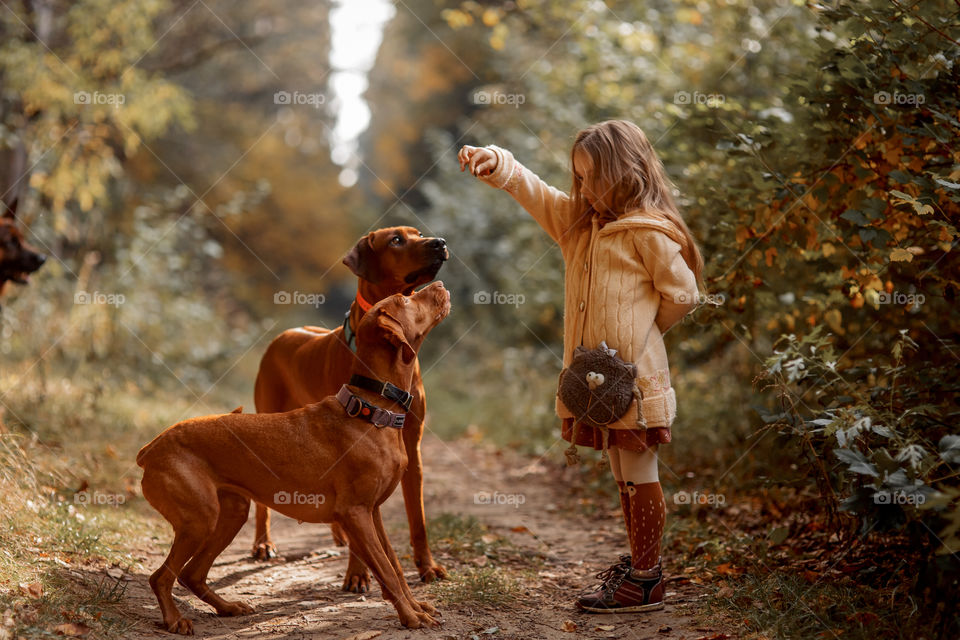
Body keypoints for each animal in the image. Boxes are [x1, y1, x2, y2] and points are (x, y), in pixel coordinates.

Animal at [138, 284, 450, 636]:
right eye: (404, 299)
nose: (439, 285)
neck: (373, 411)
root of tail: (151, 448)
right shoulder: (355, 513)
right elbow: (386, 570)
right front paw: (411, 617)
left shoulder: (374, 513)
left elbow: (394, 567)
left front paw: (415, 606)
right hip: (200, 520)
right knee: (161, 576)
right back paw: (174, 620)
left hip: (231, 513)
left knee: (192, 574)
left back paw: (228, 607)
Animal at [255, 225, 450, 592]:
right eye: (396, 240)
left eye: (417, 233)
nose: (440, 243)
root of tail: (285, 334)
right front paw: (358, 573)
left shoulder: (412, 447)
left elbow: (417, 517)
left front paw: (427, 566)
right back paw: (263, 543)